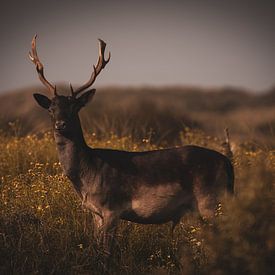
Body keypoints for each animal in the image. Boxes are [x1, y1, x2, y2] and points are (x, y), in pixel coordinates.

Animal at [30, 36, 235, 258]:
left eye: (75, 107)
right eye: (51, 109)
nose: (60, 124)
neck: (87, 175)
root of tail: (227, 162)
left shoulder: (112, 207)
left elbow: (107, 252)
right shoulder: (95, 212)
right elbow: (97, 246)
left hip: (211, 201)